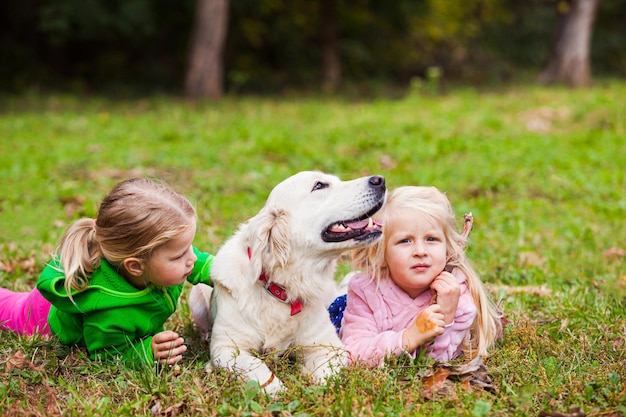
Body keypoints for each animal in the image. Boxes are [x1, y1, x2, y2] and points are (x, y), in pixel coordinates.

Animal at [189, 171, 386, 392]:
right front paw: (274, 388)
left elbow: (326, 376)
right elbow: (254, 364)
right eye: (319, 185)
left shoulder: (329, 345)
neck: (283, 287)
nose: (380, 180)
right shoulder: (227, 346)